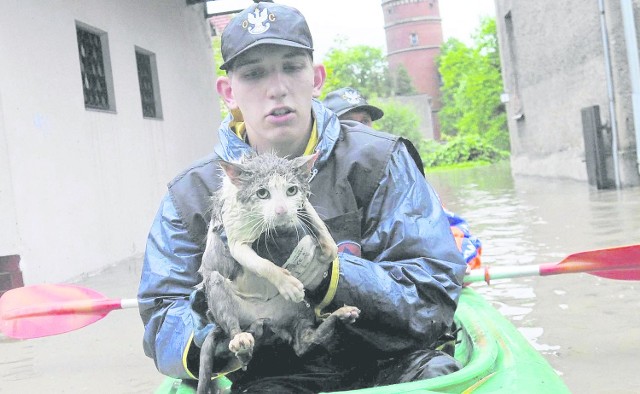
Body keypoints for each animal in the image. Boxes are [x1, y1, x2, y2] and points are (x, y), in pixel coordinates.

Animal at [198, 152, 360, 394]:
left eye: (291, 190)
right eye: (262, 193)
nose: (282, 212)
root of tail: (262, 318)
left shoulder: (303, 205)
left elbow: (317, 223)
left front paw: (326, 252)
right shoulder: (234, 235)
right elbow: (262, 264)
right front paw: (287, 283)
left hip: (300, 311)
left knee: (305, 343)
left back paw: (340, 315)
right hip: (219, 295)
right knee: (230, 320)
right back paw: (241, 341)